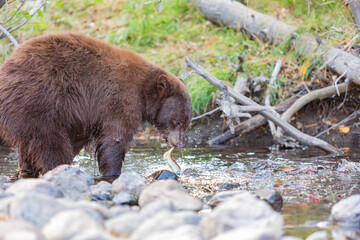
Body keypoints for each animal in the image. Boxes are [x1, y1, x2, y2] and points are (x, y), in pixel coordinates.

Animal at [0, 32, 193, 176]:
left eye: (186, 123)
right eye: (177, 121)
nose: (181, 144)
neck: (144, 91)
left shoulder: (83, 116)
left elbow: (80, 138)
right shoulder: (120, 100)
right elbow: (115, 137)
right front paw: (112, 172)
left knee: (28, 148)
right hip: (39, 105)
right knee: (51, 144)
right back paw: (58, 167)